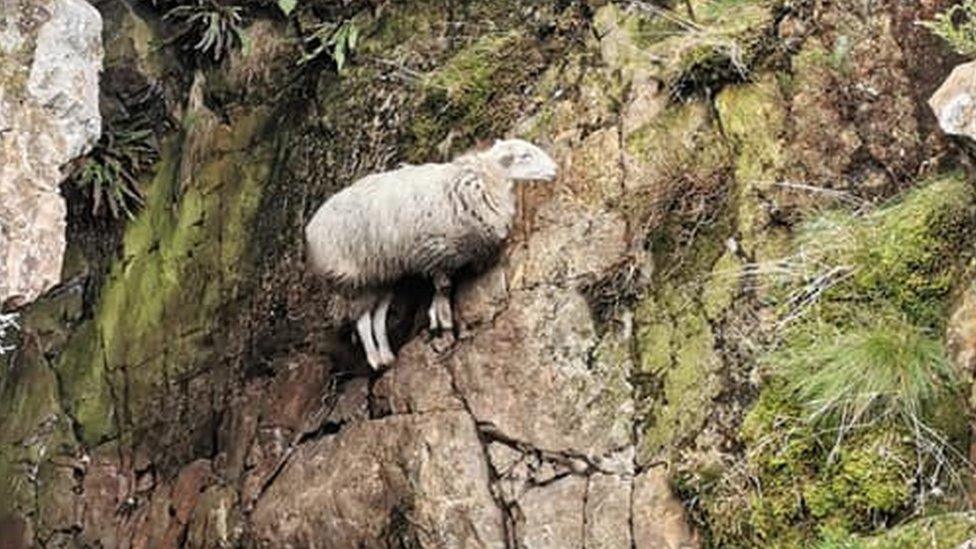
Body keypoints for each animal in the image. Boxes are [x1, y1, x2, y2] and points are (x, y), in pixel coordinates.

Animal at [308, 137, 560, 368]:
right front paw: (444, 320)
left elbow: (441, 290)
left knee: (377, 316)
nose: (555, 170)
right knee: (361, 319)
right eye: (525, 155)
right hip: (354, 274)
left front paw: (437, 317)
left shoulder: (441, 257)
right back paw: (374, 359)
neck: (486, 181)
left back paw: (387, 355)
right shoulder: (436, 250)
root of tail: (311, 226)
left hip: (382, 274)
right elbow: (444, 288)